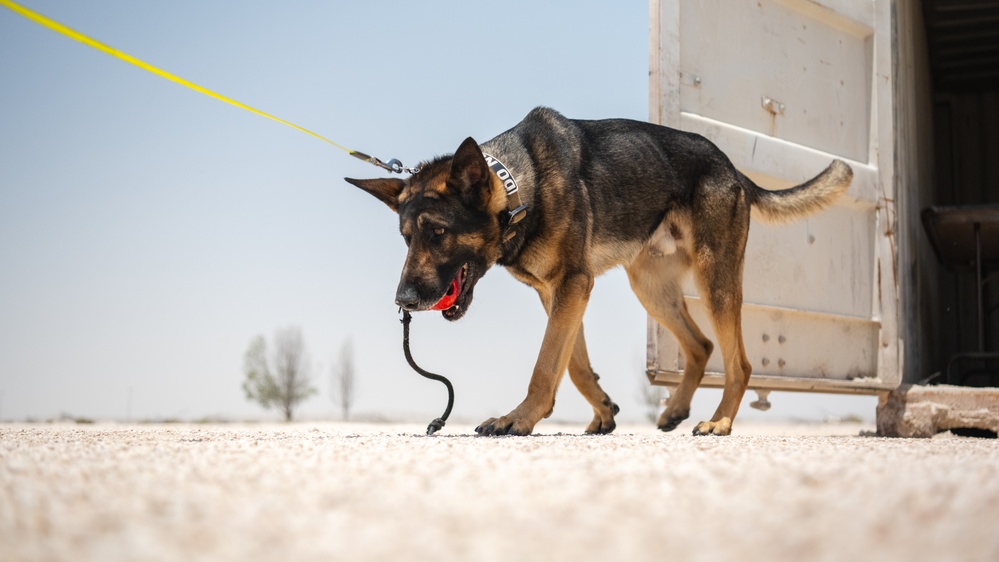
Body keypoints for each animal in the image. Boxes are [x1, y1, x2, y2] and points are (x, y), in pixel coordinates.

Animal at [348, 107, 856, 436]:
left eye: (437, 232)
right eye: (405, 238)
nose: (403, 300)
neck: (519, 189)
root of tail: (731, 168)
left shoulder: (573, 285)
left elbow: (546, 363)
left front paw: (519, 418)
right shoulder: (558, 293)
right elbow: (571, 363)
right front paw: (602, 412)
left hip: (716, 280)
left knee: (740, 362)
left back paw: (720, 421)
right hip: (650, 287)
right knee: (701, 345)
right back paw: (676, 410)